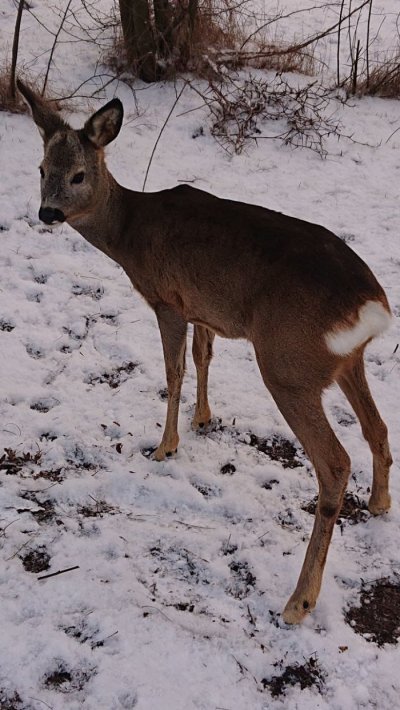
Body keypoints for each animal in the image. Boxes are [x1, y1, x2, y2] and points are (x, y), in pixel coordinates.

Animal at [17, 76, 392, 624]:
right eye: (42, 169)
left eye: (79, 174)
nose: (47, 212)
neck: (130, 233)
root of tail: (373, 305)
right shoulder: (201, 309)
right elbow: (203, 358)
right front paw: (203, 419)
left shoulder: (166, 300)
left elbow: (172, 370)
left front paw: (165, 445)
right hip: (347, 360)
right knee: (377, 427)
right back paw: (381, 504)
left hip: (287, 364)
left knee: (335, 463)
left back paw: (299, 600)